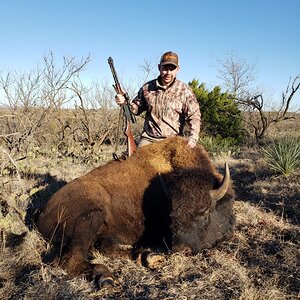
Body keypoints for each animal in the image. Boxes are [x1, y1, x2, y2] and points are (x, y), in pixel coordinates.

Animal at [36, 137, 236, 284]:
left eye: (204, 211)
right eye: (171, 215)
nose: (181, 250)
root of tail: (42, 212)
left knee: (104, 247)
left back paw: (148, 257)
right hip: (92, 215)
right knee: (70, 259)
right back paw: (106, 277)